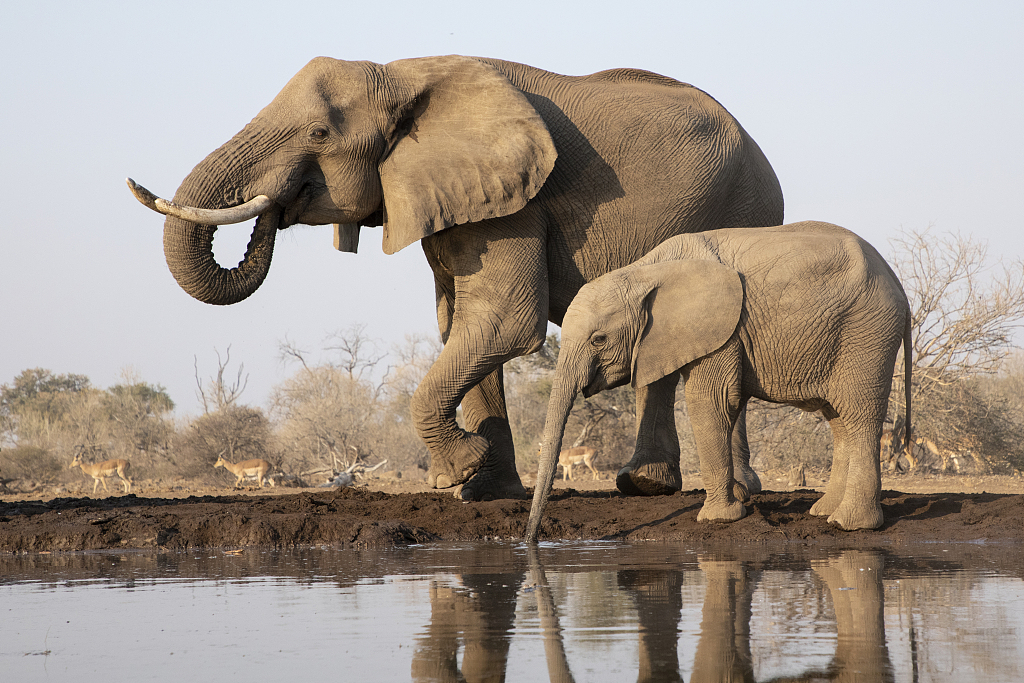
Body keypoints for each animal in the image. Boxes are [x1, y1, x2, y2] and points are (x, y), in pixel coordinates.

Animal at [130, 54, 782, 501]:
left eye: (318, 135)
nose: (276, 204)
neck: (401, 75)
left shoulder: (517, 201)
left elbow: (502, 323)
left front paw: (457, 474)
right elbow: (457, 324)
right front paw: (484, 490)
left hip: (746, 213)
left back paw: (720, 489)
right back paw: (647, 486)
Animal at [528, 219, 913, 540]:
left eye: (599, 339)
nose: (532, 539)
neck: (644, 271)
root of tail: (897, 282)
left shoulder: (719, 327)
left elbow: (708, 402)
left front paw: (717, 519)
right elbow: (727, 402)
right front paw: (737, 500)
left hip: (867, 333)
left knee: (859, 415)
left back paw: (850, 525)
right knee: (838, 420)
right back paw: (824, 513)